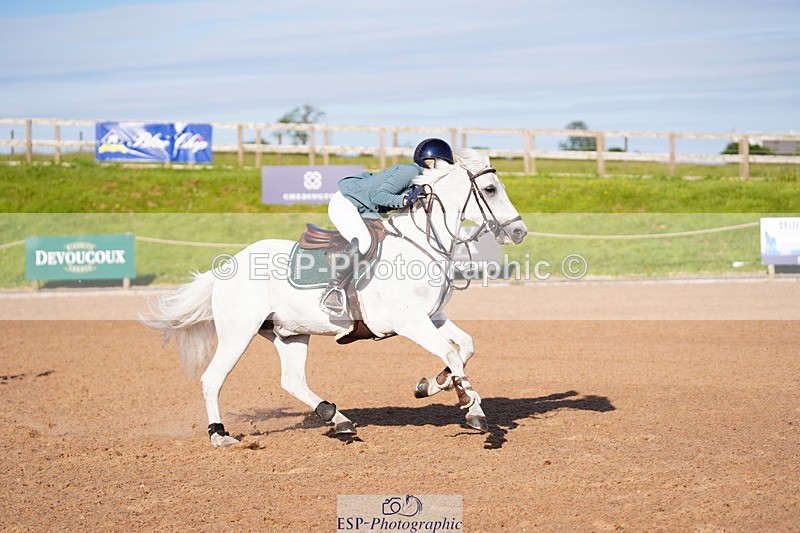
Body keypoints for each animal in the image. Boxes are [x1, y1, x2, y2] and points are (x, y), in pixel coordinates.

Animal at [141, 148, 528, 447]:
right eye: (490, 189)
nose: (520, 232)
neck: (424, 242)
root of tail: (226, 264)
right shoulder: (409, 321)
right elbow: (450, 352)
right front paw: (471, 408)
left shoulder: (431, 317)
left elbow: (465, 347)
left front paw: (432, 385)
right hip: (239, 332)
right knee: (212, 379)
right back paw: (220, 435)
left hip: (290, 333)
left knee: (292, 380)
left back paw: (337, 418)